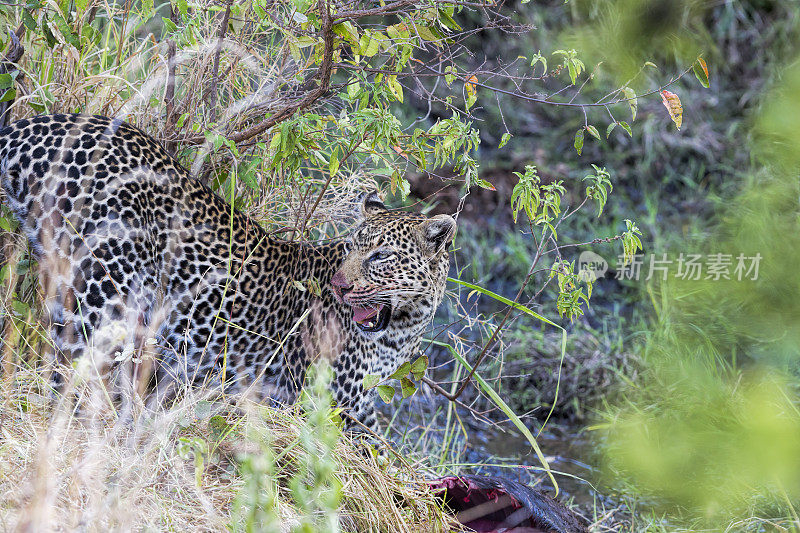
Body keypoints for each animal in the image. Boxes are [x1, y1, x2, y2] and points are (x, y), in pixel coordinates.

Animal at [0, 113, 456, 432]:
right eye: (352, 248)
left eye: (381, 255)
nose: (340, 286)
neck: (401, 330)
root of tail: (31, 126)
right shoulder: (324, 402)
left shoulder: (358, 406)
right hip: (106, 290)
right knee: (72, 373)